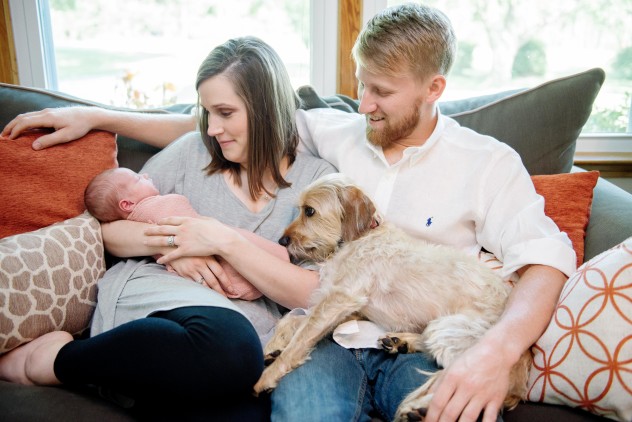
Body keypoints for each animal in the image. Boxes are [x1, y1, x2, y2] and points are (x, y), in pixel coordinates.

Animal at [254, 173, 532, 420]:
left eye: (309, 211)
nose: (282, 241)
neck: (361, 237)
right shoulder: (346, 308)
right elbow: (293, 321)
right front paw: (272, 347)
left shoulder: (342, 297)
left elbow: (301, 337)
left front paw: (268, 375)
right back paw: (402, 342)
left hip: (452, 331)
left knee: (457, 377)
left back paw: (420, 407)